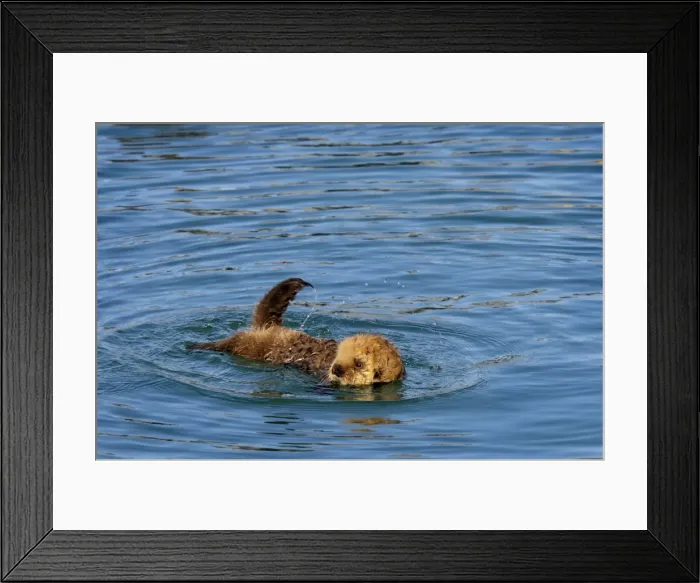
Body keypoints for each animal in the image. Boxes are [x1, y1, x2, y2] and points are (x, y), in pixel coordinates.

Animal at [187, 277, 405, 386]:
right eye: (340, 352)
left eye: (359, 364)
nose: (336, 368)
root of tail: (269, 327)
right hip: (246, 342)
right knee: (226, 342)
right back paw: (196, 346)